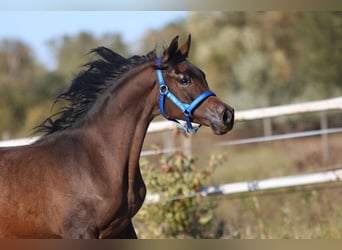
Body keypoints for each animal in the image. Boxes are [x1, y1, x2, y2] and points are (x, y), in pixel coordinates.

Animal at [0, 35, 234, 238]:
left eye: (202, 74)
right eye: (184, 79)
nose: (227, 115)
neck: (95, 162)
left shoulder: (122, 227)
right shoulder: (80, 233)